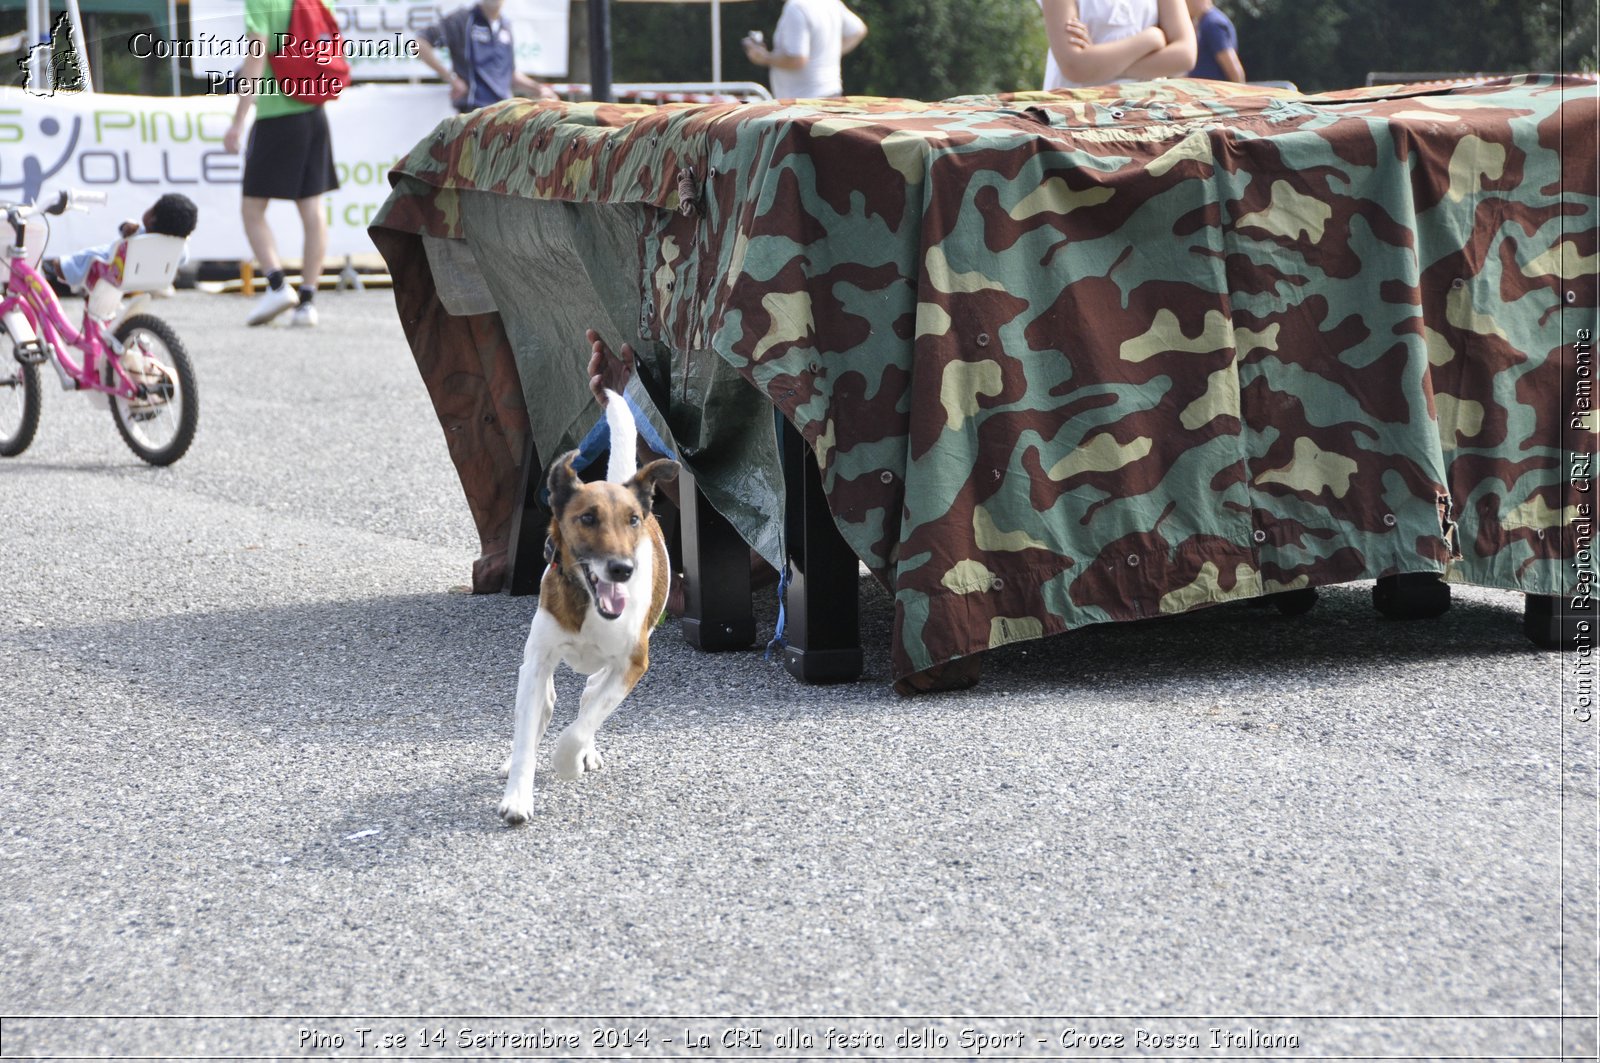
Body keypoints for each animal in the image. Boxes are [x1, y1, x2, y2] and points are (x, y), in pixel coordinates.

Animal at [499, 390, 675, 819]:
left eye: (632, 520)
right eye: (588, 518)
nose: (622, 569)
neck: (589, 606)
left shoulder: (633, 664)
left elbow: (583, 723)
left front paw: (569, 761)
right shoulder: (538, 661)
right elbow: (528, 731)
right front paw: (518, 796)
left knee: (590, 695)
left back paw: (585, 752)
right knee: (550, 702)